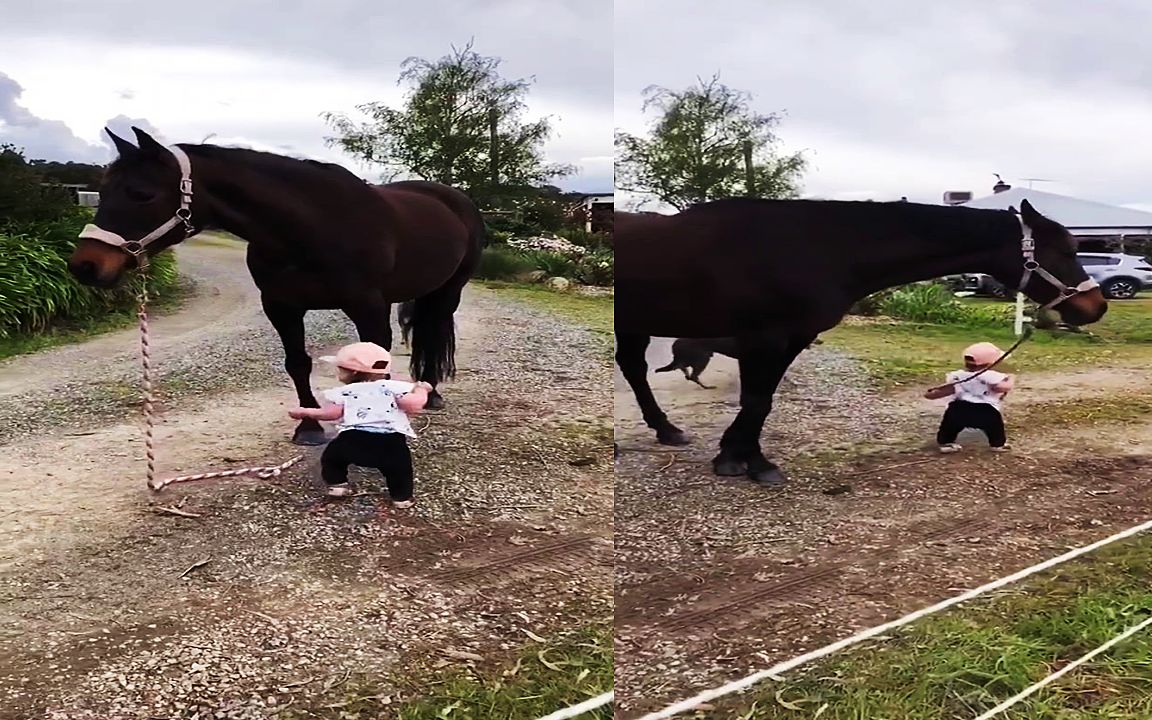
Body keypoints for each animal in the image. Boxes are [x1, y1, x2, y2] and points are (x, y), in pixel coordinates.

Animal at [68, 126, 481, 446]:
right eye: (103, 191)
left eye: (141, 193)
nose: (84, 267)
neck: (313, 227)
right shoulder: (281, 306)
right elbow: (297, 363)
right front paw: (310, 426)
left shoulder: (368, 307)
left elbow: (376, 366)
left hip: (449, 291)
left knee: (435, 330)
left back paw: (432, 394)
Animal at [617, 199, 1110, 486]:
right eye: (1066, 250)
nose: (1096, 306)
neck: (819, 246)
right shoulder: (765, 338)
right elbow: (757, 401)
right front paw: (750, 463)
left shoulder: (789, 339)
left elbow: (760, 401)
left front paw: (735, 455)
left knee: (633, 369)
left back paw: (666, 429)